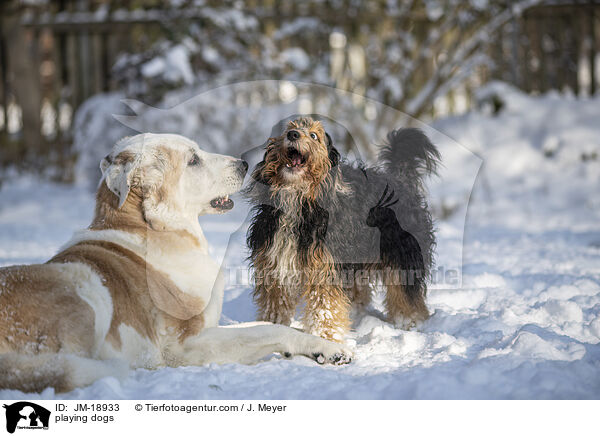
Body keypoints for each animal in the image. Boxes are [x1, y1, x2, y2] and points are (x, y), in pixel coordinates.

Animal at [0, 132, 352, 392]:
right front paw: (328, 348)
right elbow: (267, 330)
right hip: (84, 283)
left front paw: (319, 347)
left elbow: (264, 327)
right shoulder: (185, 345)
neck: (155, 228)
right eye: (193, 159)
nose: (243, 163)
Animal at [245, 117, 440, 342]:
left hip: (402, 255)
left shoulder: (324, 268)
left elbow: (324, 308)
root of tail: (401, 180)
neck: (297, 200)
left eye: (314, 135)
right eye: (288, 129)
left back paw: (409, 323)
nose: (293, 135)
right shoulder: (275, 265)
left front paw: (324, 338)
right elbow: (276, 304)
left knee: (407, 295)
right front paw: (270, 329)